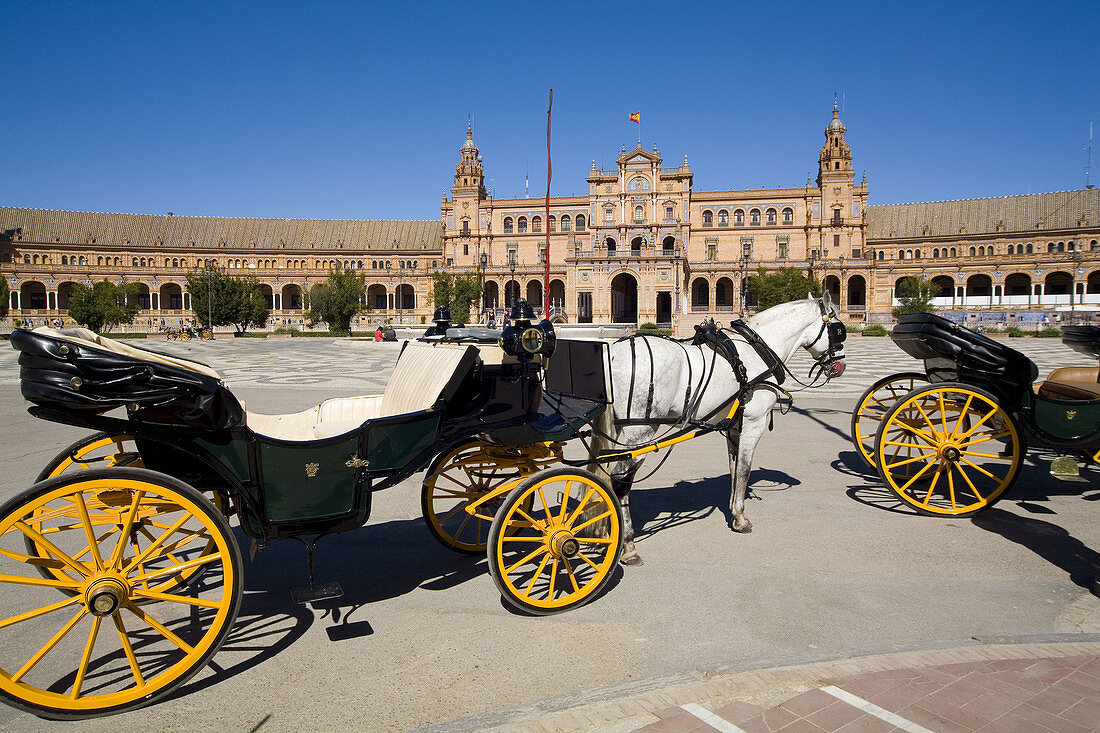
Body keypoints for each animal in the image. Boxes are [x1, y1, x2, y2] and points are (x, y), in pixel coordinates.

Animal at [589, 292, 844, 563]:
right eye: (839, 330)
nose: (840, 366)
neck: (757, 350)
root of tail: (613, 352)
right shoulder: (754, 422)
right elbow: (744, 469)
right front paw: (741, 518)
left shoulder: (734, 426)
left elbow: (734, 468)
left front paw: (734, 510)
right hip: (641, 431)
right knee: (619, 480)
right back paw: (627, 545)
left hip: (618, 431)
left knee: (603, 472)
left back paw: (603, 533)